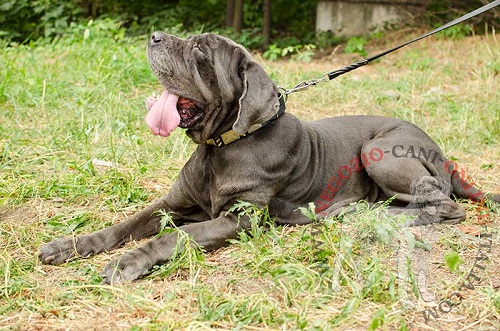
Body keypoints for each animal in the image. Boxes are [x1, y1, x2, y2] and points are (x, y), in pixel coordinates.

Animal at [38, 32, 496, 284]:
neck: (220, 147)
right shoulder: (173, 203)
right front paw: (68, 245)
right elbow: (125, 225)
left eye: (201, 53)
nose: (154, 36)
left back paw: (368, 215)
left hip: (378, 150)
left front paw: (128, 263)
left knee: (443, 206)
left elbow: (174, 237)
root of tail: (444, 155)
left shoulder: (241, 217)